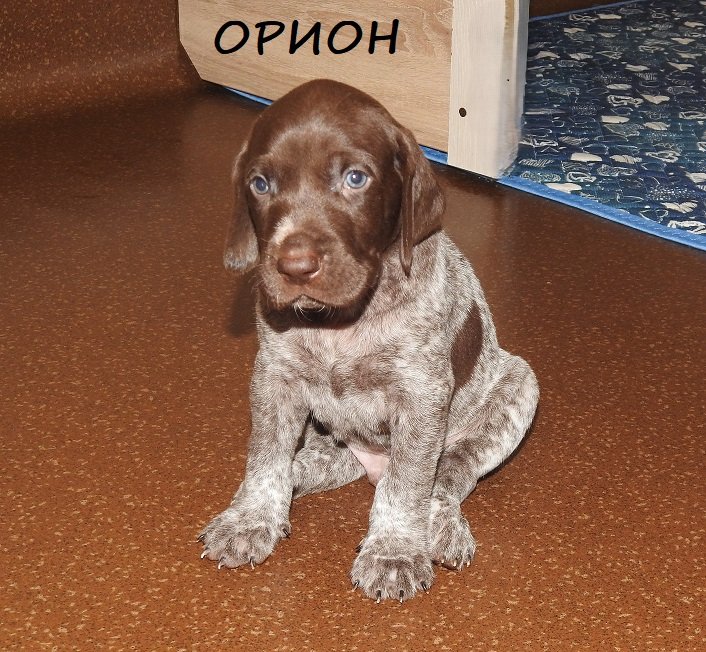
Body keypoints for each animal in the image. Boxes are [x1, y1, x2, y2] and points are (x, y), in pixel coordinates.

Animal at [199, 79, 539, 602]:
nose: (294, 267)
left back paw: (442, 527)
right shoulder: (275, 378)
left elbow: (408, 484)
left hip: (518, 385)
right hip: (333, 441)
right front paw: (250, 518)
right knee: (308, 464)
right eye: (260, 184)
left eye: (355, 179)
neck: (340, 323)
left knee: (446, 477)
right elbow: (265, 456)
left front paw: (394, 552)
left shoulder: (421, 395)